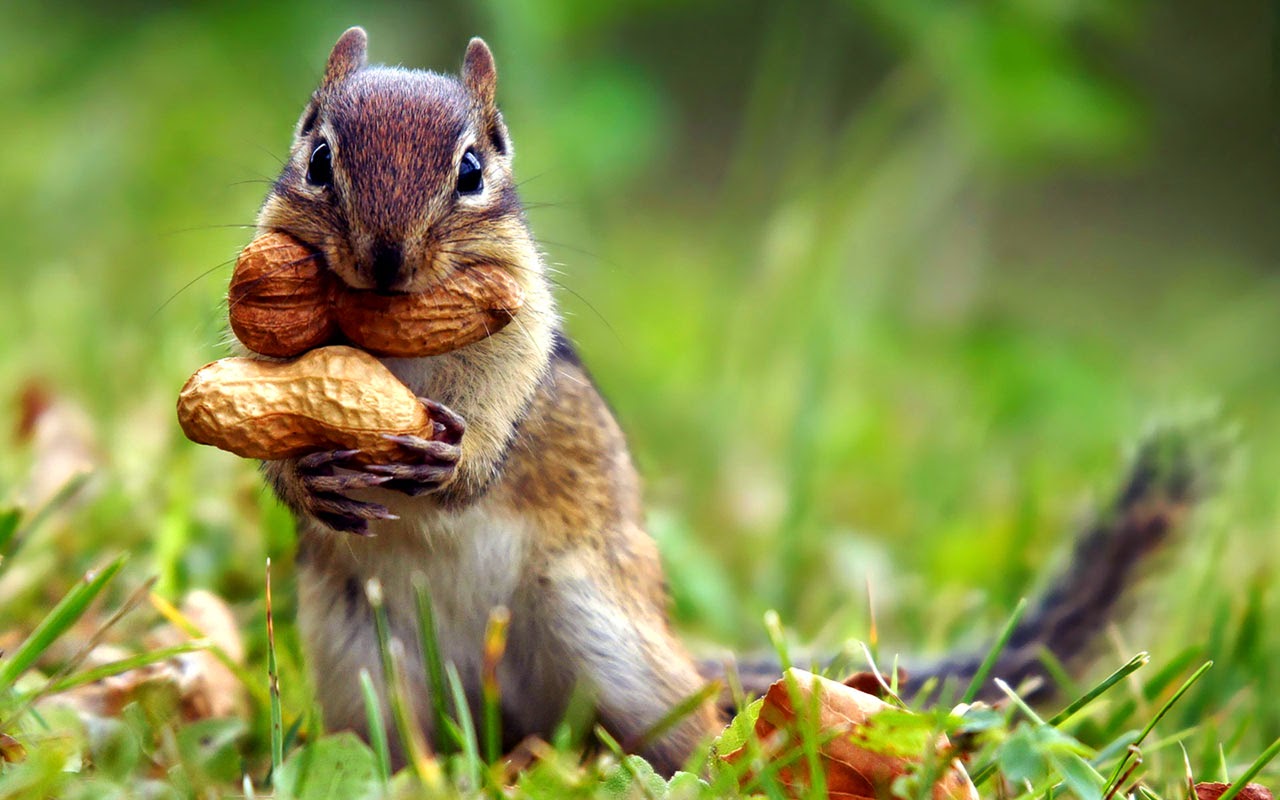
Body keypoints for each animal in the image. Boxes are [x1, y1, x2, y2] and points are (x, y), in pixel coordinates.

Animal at [246, 27, 1212, 775]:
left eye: (474, 168)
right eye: (319, 157)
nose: (385, 261)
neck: (389, 338)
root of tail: (498, 712)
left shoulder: (522, 338)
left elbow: (500, 413)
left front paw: (457, 462)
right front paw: (305, 478)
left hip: (612, 645)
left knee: (692, 734)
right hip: (362, 666)